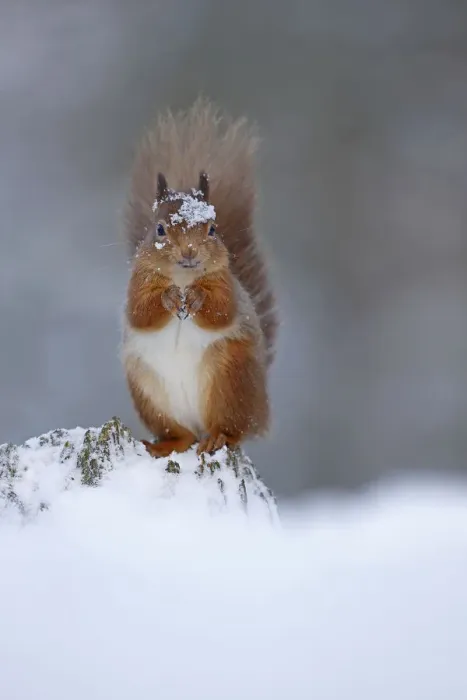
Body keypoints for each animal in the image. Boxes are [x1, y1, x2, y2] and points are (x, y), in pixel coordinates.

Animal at [121, 98, 278, 457]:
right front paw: (168, 299)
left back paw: (218, 438)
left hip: (230, 378)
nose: (189, 251)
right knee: (182, 435)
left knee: (234, 429)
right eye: (160, 229)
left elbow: (221, 311)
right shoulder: (138, 284)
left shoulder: (227, 285)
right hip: (151, 396)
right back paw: (165, 445)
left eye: (212, 229)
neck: (182, 278)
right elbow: (141, 313)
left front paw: (195, 298)